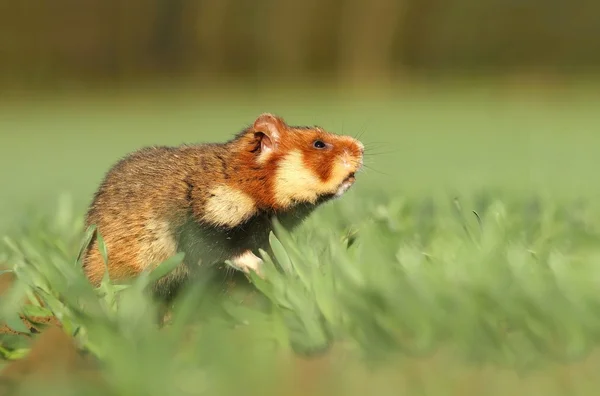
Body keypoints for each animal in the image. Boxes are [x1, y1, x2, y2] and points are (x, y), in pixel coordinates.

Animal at [81, 113, 364, 298]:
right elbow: (232, 253)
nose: (361, 147)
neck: (240, 183)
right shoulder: (202, 226)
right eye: (319, 143)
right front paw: (270, 273)